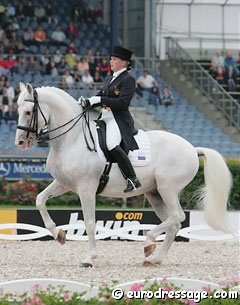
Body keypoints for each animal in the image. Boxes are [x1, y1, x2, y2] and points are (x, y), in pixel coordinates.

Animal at [14, 82, 232, 266]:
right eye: (16, 111)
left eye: (28, 111)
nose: (20, 143)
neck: (72, 139)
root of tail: (193, 149)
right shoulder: (63, 183)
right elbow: (40, 200)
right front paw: (58, 234)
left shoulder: (86, 188)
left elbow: (90, 223)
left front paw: (89, 258)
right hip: (155, 193)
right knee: (173, 224)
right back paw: (154, 258)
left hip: (167, 188)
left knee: (177, 216)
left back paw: (148, 242)